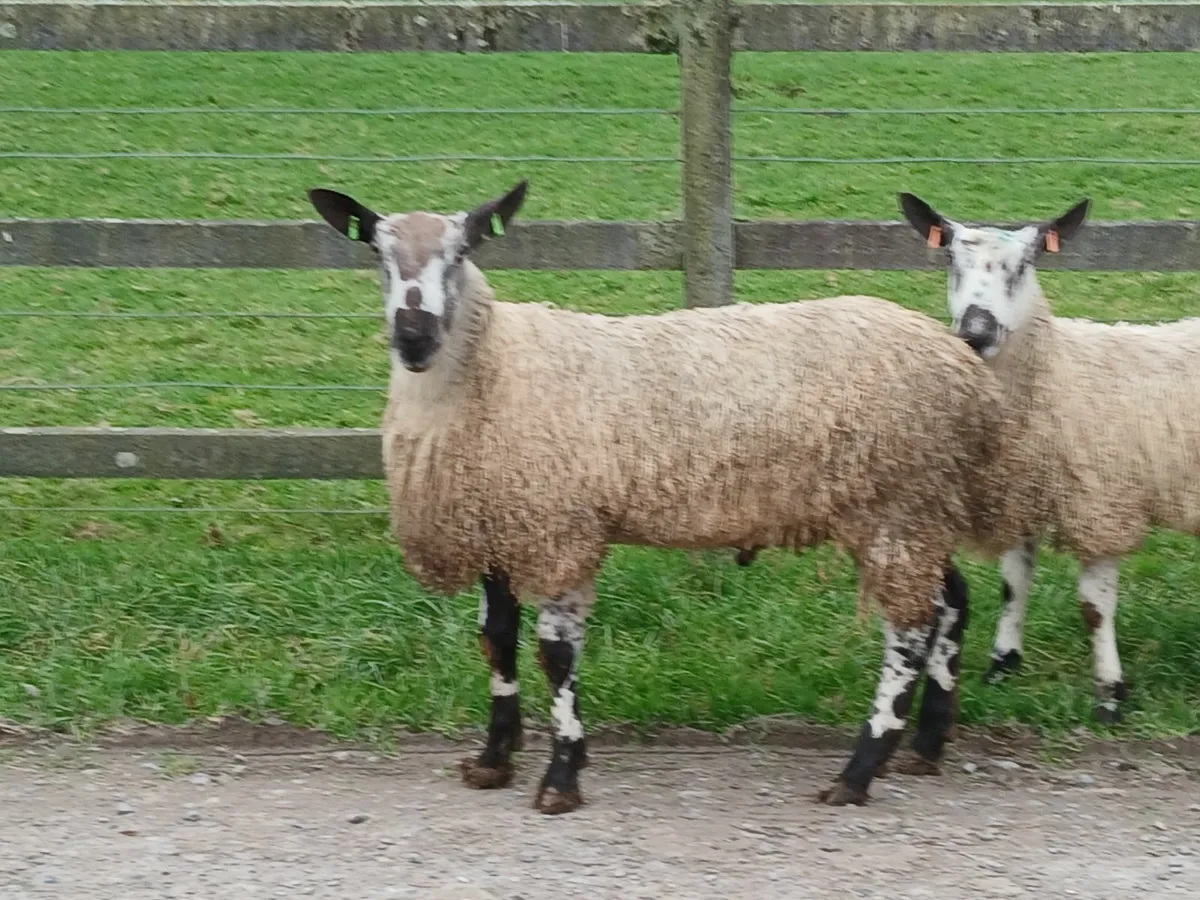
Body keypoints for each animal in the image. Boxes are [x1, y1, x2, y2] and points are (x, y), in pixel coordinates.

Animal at [307, 179, 1015, 813]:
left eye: (460, 253)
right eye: (376, 253)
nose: (414, 336)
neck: (493, 367)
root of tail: (964, 366)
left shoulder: (561, 527)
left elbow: (555, 654)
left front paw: (562, 776)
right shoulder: (499, 522)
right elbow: (496, 639)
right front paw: (493, 759)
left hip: (898, 504)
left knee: (911, 631)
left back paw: (859, 771)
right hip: (916, 508)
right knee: (950, 604)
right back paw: (923, 745)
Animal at [899, 191, 1200, 723]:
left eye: (1026, 263)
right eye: (951, 258)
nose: (975, 333)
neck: (1054, 374)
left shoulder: (1103, 503)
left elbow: (1094, 607)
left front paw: (1109, 694)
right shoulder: (1020, 488)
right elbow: (1013, 583)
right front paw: (1002, 665)